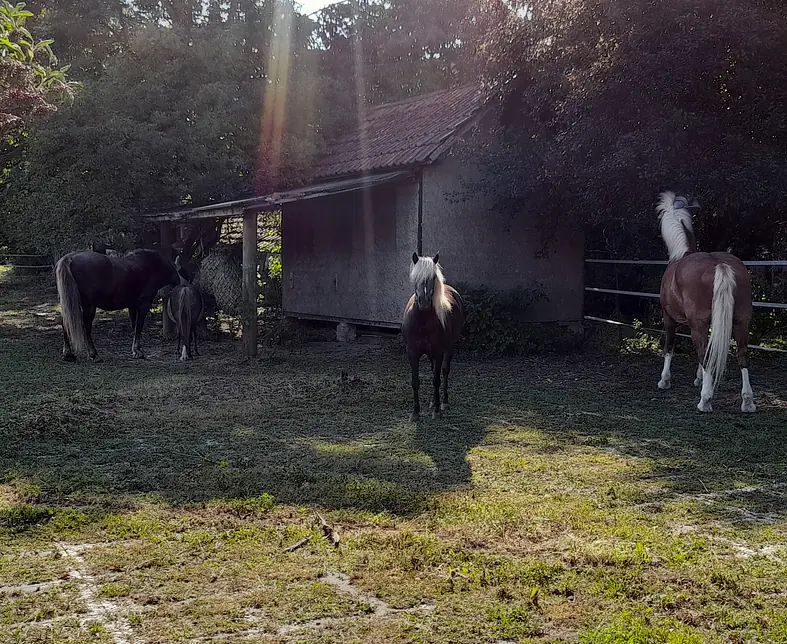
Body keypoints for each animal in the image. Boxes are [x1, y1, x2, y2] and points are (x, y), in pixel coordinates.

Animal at [404, 252, 464, 422]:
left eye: (433, 278)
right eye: (415, 277)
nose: (424, 302)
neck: (423, 320)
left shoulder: (438, 352)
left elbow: (436, 380)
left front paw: (437, 411)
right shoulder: (412, 353)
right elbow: (415, 382)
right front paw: (415, 413)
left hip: (449, 348)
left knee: (444, 371)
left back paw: (443, 402)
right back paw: (432, 401)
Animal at [652, 191, 756, 412]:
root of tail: (719, 263)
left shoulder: (669, 319)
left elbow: (669, 348)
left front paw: (664, 381)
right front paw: (698, 379)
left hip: (697, 324)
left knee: (705, 356)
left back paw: (705, 401)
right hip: (741, 321)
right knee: (742, 355)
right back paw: (748, 402)